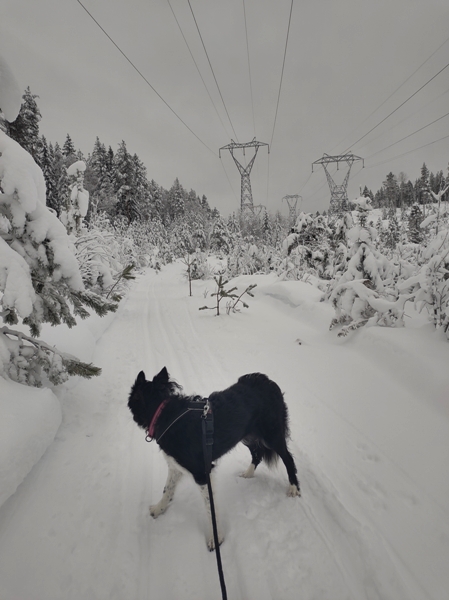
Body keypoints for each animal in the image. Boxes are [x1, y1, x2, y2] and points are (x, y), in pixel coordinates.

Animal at [128, 366, 300, 548]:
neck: (163, 414)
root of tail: (269, 381)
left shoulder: (201, 472)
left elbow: (210, 509)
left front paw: (216, 538)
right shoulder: (176, 466)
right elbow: (167, 489)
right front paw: (158, 509)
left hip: (271, 434)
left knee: (288, 458)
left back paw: (293, 488)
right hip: (247, 434)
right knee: (257, 453)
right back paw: (248, 473)